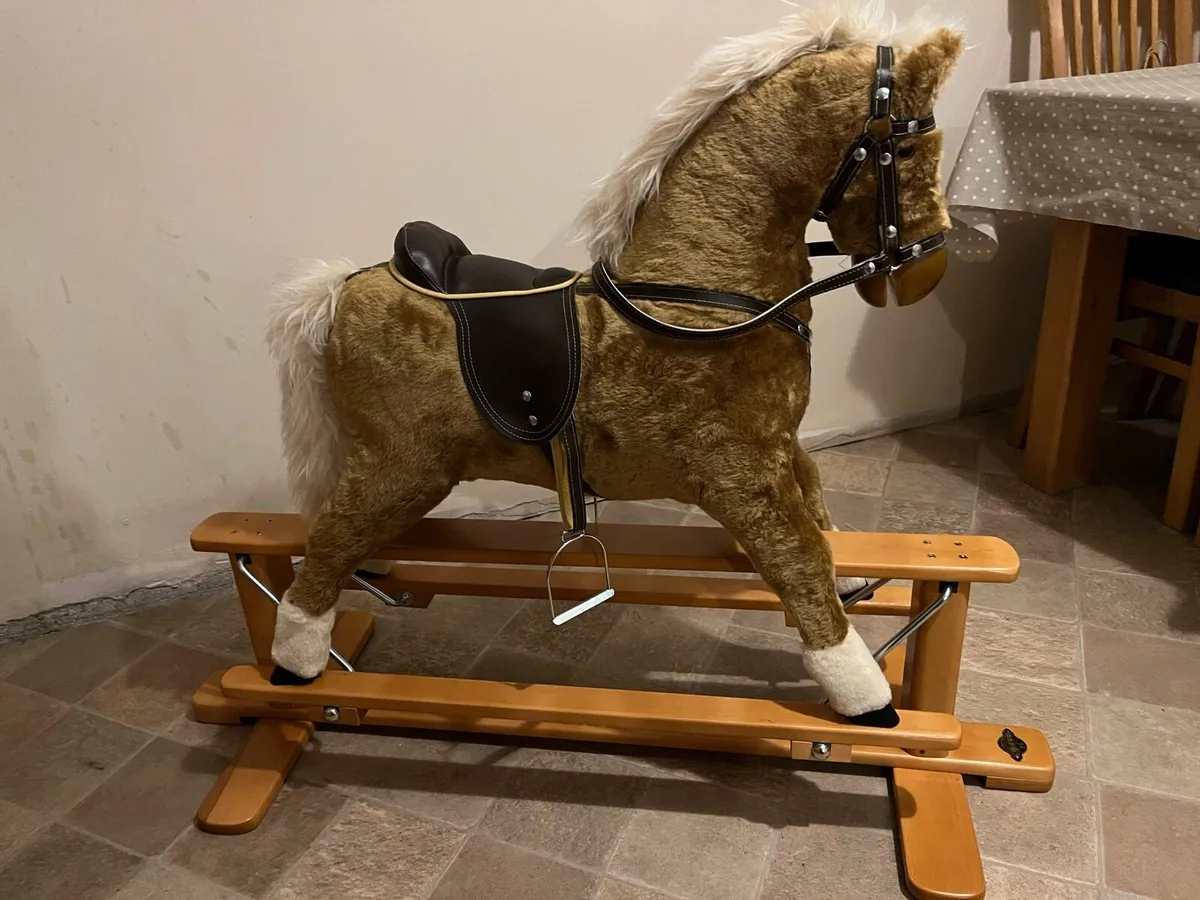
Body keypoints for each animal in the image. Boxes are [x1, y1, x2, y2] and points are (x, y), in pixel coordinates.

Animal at [264, 3, 964, 728]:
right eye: (907, 148)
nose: (930, 267)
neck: (701, 291)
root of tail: (343, 286)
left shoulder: (779, 444)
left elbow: (818, 502)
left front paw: (854, 574)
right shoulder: (739, 473)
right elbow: (796, 557)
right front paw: (863, 694)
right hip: (403, 467)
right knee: (326, 544)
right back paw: (295, 665)